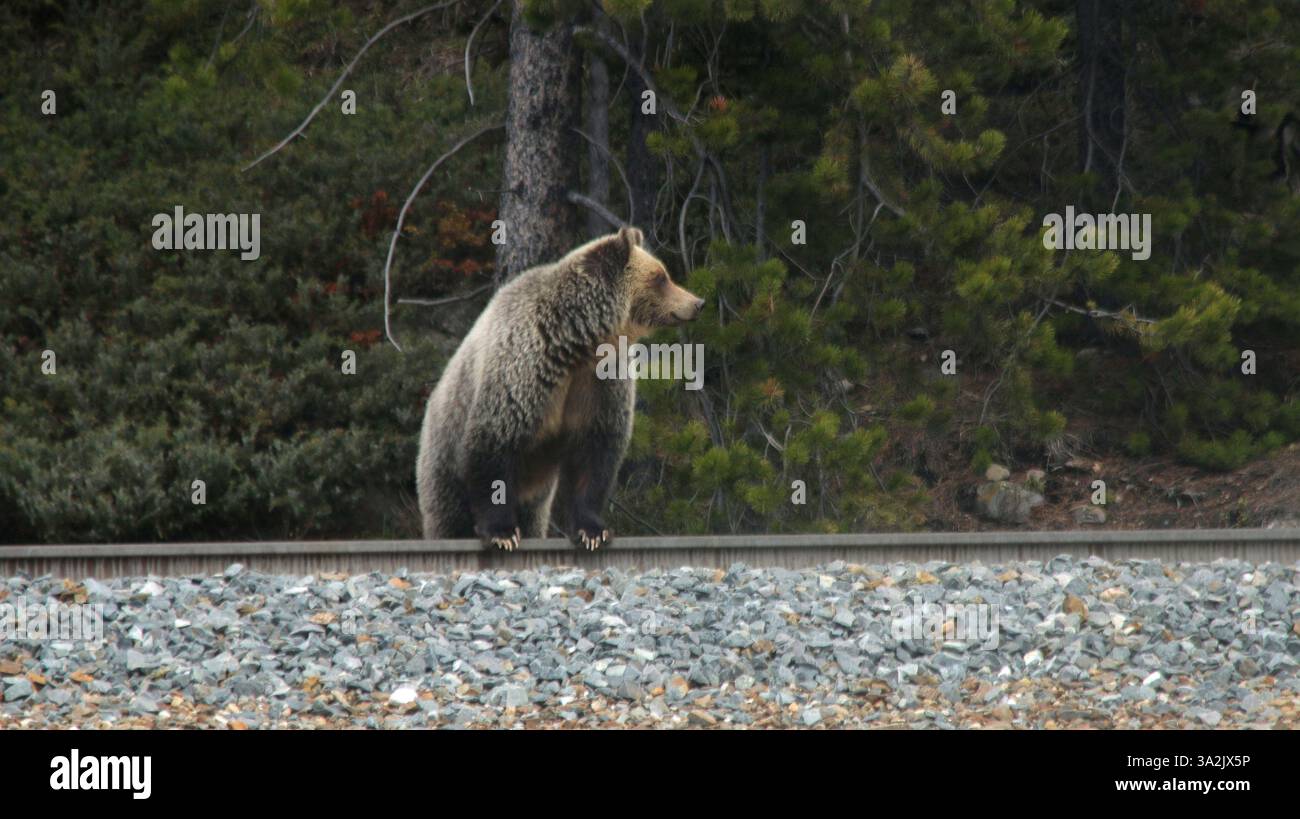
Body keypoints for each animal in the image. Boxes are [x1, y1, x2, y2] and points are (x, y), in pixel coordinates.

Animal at [416, 226, 704, 551]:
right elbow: (494, 444)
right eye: (661, 277)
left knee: (532, 514)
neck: (574, 344)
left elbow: (595, 453)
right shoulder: (523, 374)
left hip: (536, 494)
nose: (697, 302)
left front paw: (593, 531)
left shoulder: (598, 383)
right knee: (447, 513)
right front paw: (502, 533)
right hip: (443, 454)